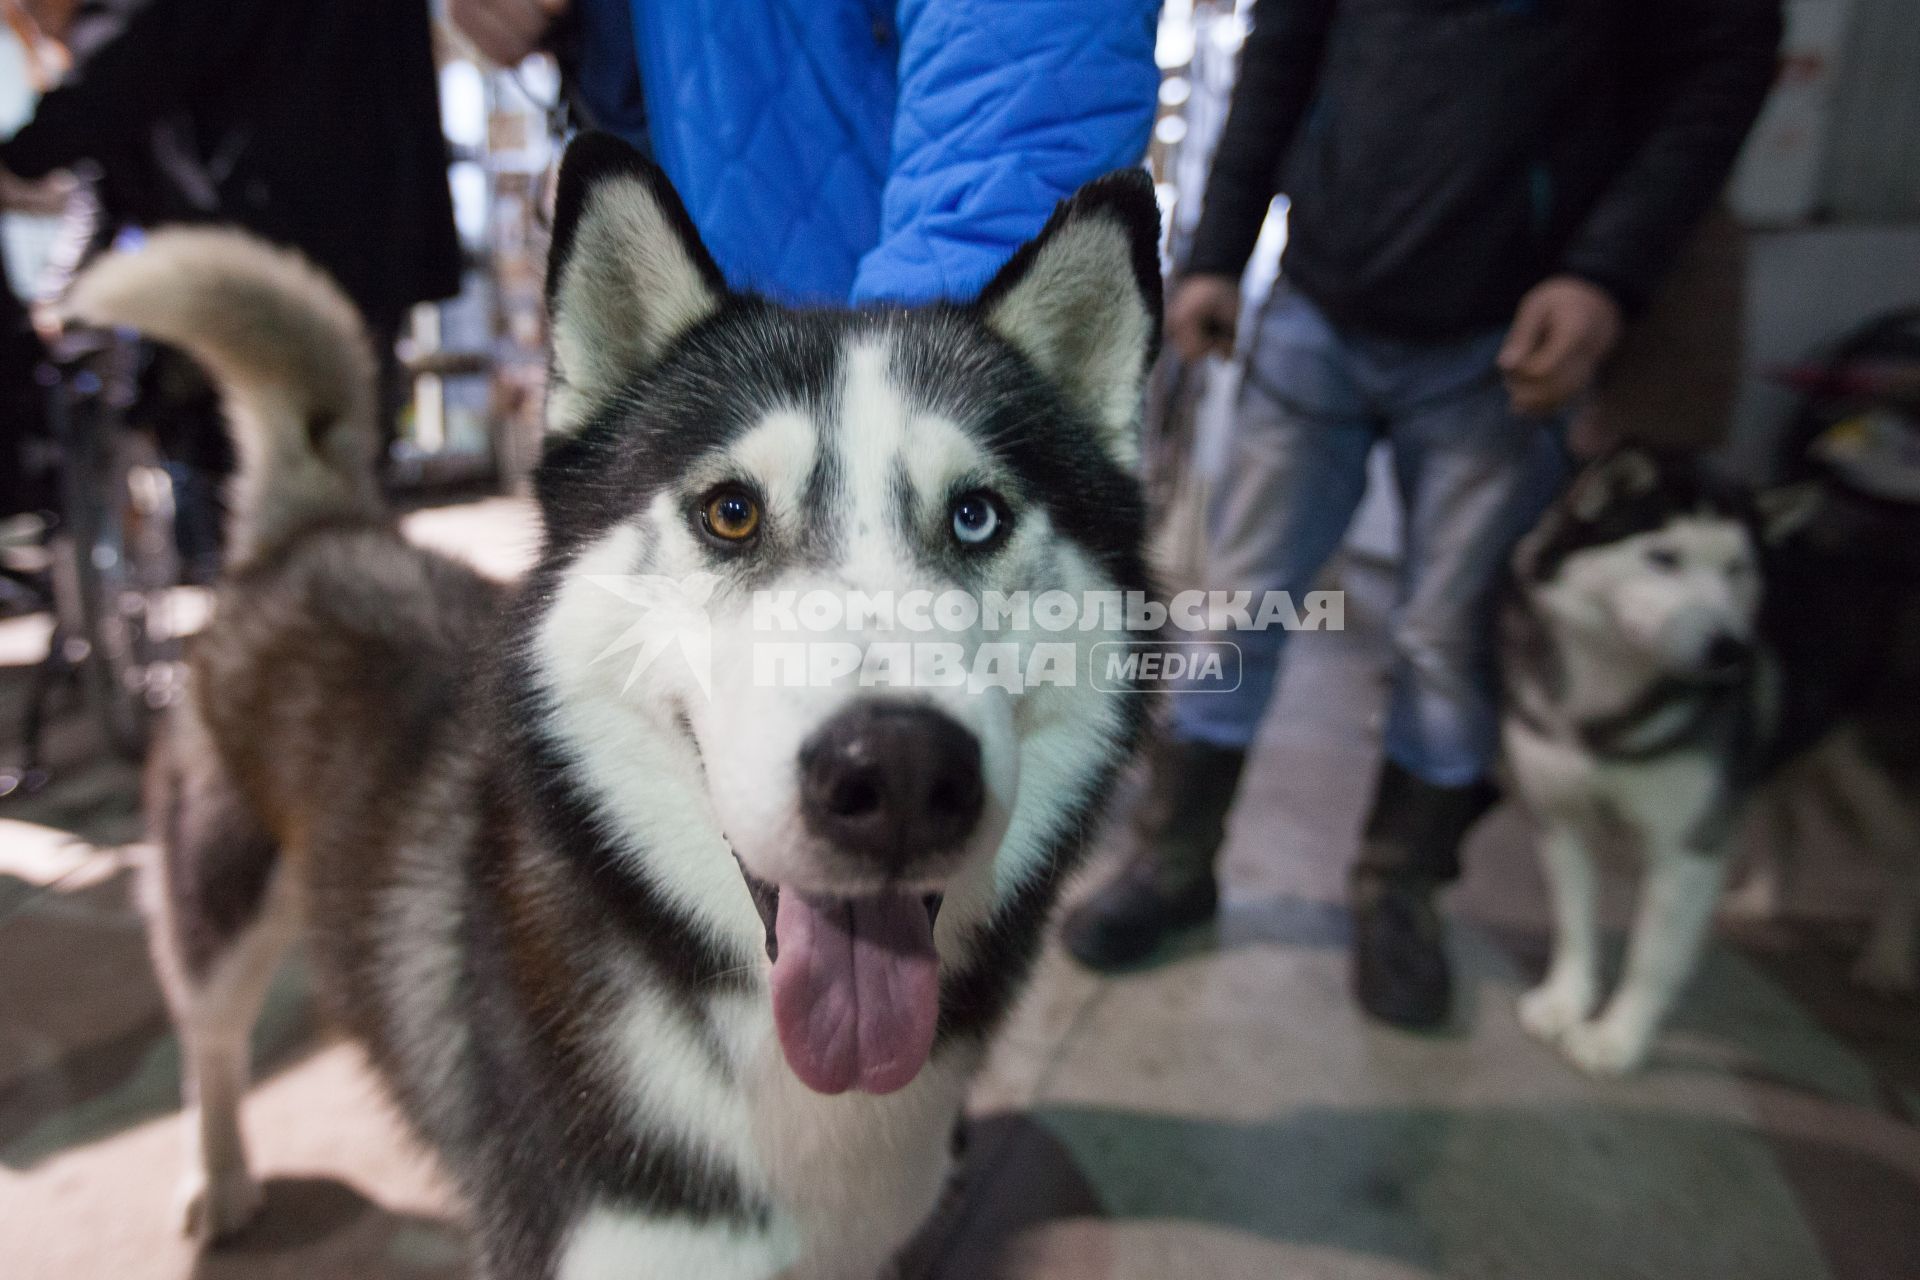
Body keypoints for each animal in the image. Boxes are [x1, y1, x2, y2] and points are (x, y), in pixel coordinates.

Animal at [67, 135, 1159, 1274]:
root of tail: (319, 525)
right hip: (219, 900)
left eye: (977, 515)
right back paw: (220, 1173)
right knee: (210, 1038)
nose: (899, 772)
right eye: (732, 512)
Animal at [1497, 445, 1920, 1074]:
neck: (1606, 700)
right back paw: (1762, 898)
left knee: (1900, 857)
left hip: (1869, 777)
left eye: (1735, 570)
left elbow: (1652, 957)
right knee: (1786, 823)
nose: (1732, 650)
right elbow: (1573, 923)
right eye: (1663, 558)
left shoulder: (1685, 849)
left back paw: (1888, 959)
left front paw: (1617, 1039)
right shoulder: (1559, 818)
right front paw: (1565, 1000)